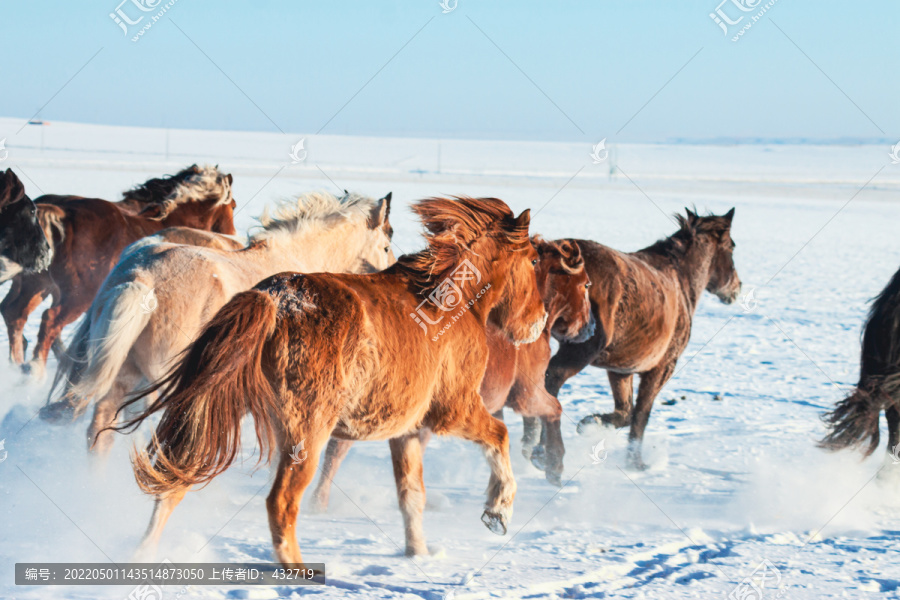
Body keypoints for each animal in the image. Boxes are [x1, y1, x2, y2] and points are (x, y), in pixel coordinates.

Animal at [0, 164, 237, 378]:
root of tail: (59, 214)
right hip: (77, 296)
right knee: (49, 321)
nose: (233, 235)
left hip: (36, 285)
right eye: (233, 206)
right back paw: (35, 373)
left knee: (14, 313)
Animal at [114, 196, 548, 564]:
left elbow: (411, 497)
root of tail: (272, 300)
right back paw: (299, 571)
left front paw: (418, 554)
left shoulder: (407, 431)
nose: (540, 321)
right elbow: (499, 437)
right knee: (281, 503)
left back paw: (144, 553)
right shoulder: (453, 411)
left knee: (177, 481)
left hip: (219, 410)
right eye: (532, 261)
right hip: (307, 435)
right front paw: (498, 511)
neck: (449, 300)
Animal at [310, 236, 596, 510]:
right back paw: (320, 501)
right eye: (584, 285)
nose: (589, 329)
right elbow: (555, 409)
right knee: (337, 448)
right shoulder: (526, 395)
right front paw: (552, 463)